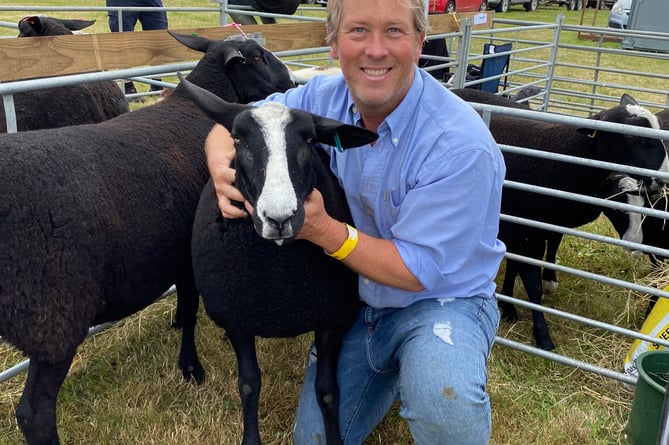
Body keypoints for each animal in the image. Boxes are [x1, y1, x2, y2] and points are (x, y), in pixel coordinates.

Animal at [0, 32, 294, 444]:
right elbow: (190, 306)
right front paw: (191, 366)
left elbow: (188, 304)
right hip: (54, 316)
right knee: (34, 414)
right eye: (256, 56)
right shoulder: (187, 252)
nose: (292, 81)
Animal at [180, 76, 378, 444]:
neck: (278, 286)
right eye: (237, 138)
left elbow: (328, 392)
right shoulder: (238, 319)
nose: (279, 218)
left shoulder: (332, 319)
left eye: (310, 140)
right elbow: (248, 385)